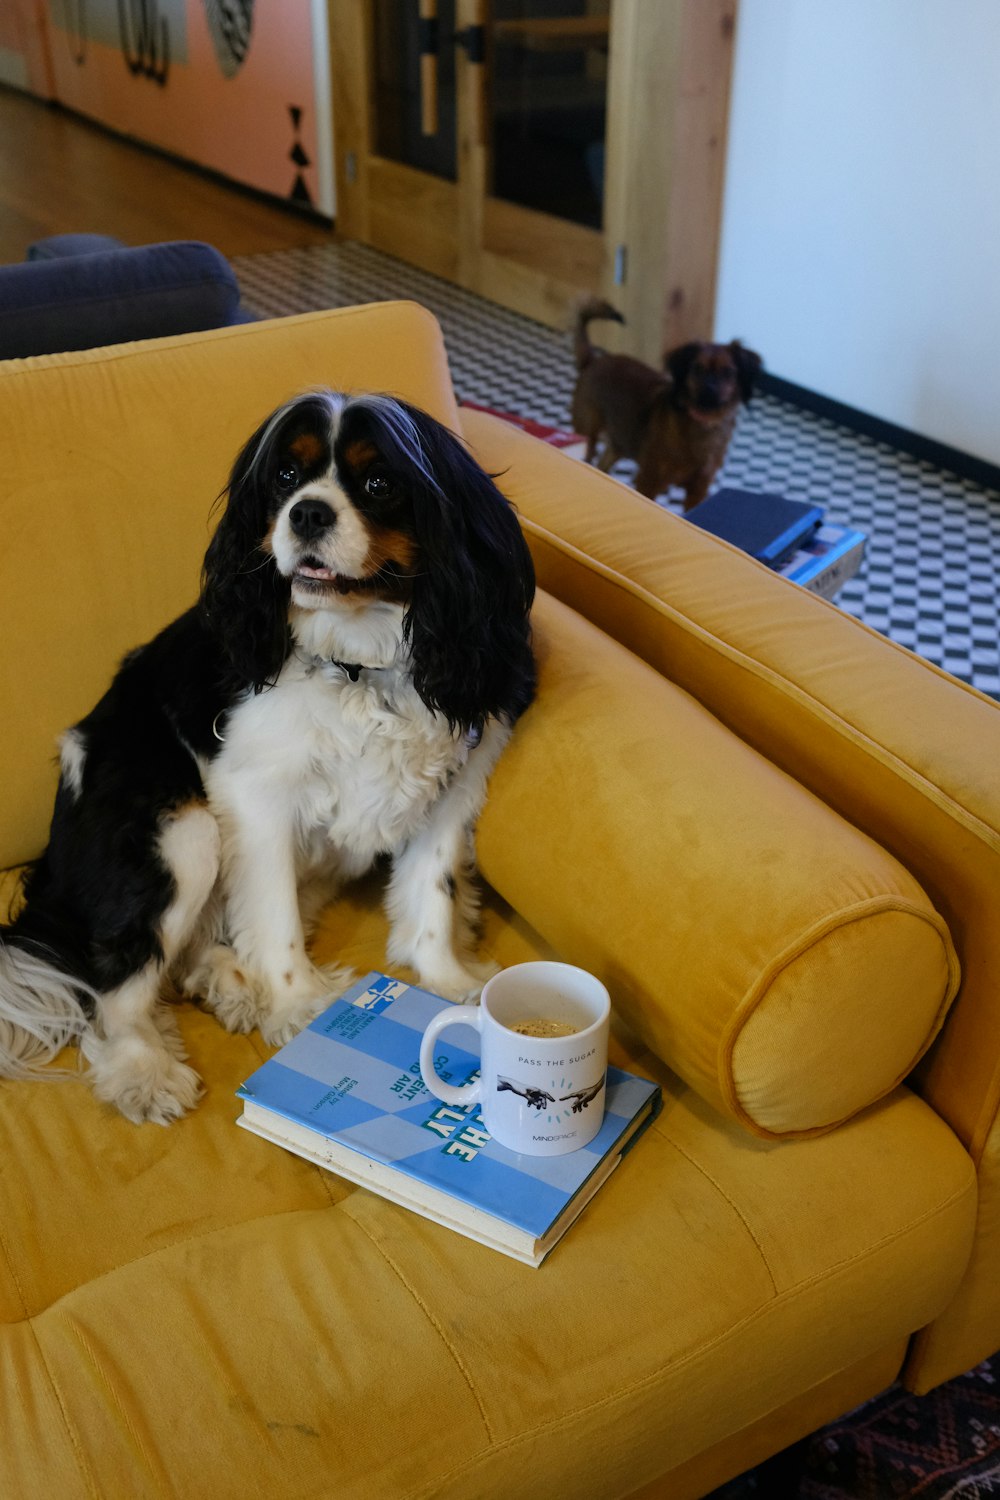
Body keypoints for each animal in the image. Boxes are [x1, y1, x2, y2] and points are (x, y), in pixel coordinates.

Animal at [0, 393, 539, 1122]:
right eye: (285, 477)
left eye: (378, 483)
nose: (307, 512)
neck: (360, 663)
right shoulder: (258, 796)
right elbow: (273, 910)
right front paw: (300, 1007)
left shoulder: (455, 787)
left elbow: (433, 894)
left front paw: (448, 982)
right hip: (180, 831)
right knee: (112, 982)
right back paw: (145, 1069)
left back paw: (226, 982)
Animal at [575, 295, 761, 513]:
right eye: (697, 369)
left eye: (728, 372)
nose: (710, 391)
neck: (703, 426)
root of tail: (593, 361)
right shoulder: (649, 481)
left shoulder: (698, 490)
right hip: (589, 428)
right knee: (589, 451)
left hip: (620, 440)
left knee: (603, 464)